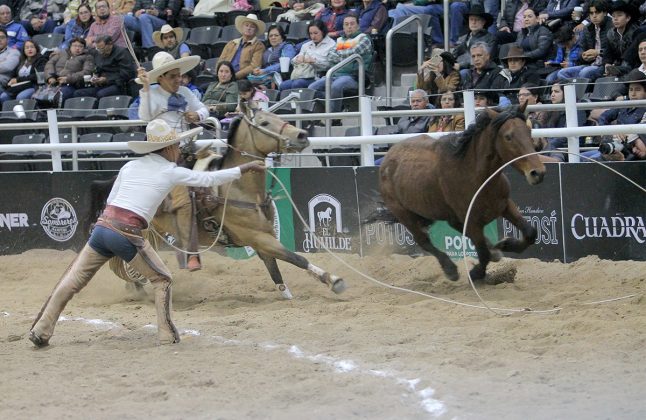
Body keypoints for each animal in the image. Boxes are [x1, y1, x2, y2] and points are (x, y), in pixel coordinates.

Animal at [90, 105, 350, 298]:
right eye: (265, 123)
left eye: (278, 117)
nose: (302, 136)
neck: (239, 189)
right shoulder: (258, 237)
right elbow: (296, 257)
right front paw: (334, 280)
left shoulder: (262, 239)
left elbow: (275, 271)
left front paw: (288, 294)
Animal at [382, 105, 548, 282]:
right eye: (508, 136)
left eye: (529, 131)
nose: (538, 173)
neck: (475, 175)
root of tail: (389, 156)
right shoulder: (471, 221)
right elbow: (482, 253)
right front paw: (476, 273)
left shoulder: (504, 205)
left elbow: (530, 232)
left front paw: (505, 244)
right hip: (403, 213)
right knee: (423, 240)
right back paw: (450, 269)